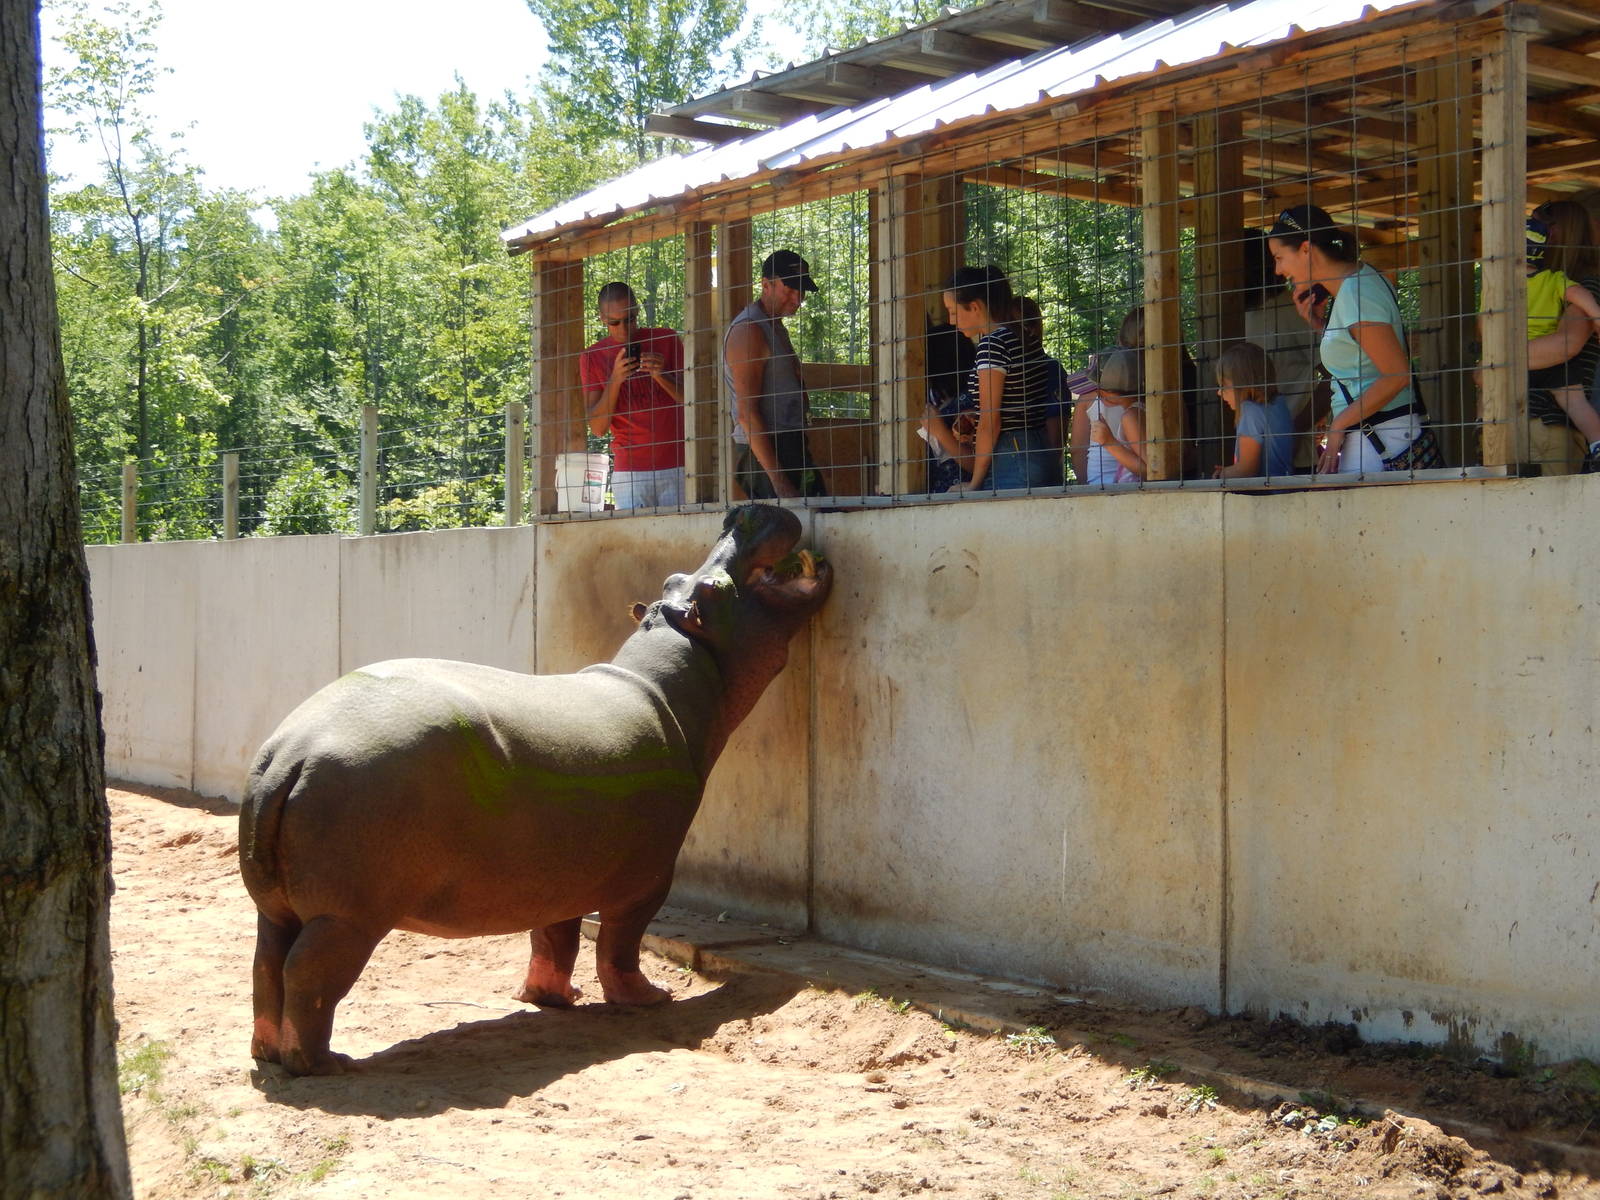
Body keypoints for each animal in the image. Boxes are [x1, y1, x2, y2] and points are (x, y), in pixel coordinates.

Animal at [239, 504, 832, 1075]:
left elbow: (554, 938)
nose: (742, 512)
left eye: (676, 579)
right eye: (714, 589)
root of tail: (292, 750)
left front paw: (552, 999)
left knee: (266, 966)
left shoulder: (558, 873)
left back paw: (267, 1052)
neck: (667, 680)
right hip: (347, 916)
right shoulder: (647, 878)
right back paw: (323, 1065)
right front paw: (650, 998)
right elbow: (620, 944)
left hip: (278, 909)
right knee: (309, 973)